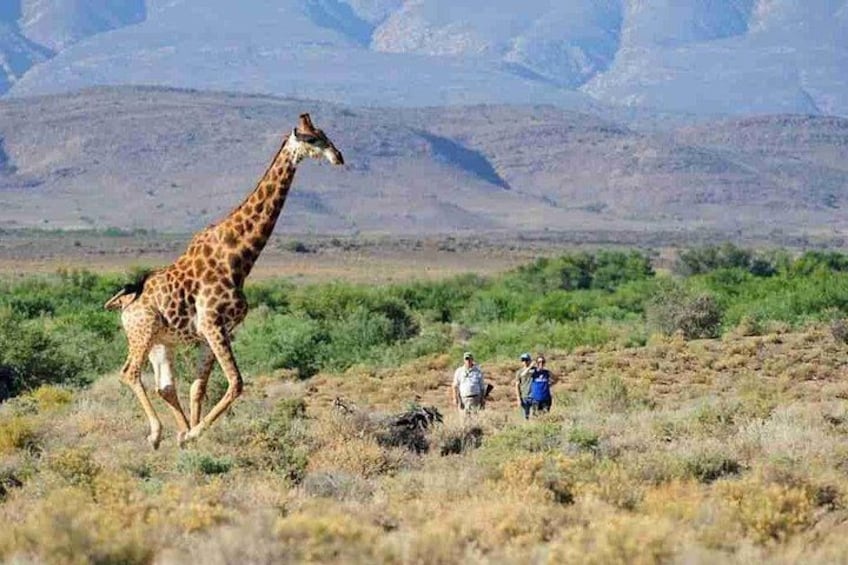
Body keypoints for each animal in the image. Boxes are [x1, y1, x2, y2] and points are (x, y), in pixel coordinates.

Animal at [105, 113, 344, 448]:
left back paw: (178, 432)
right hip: (143, 331)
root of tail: (126, 301)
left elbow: (198, 387)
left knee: (164, 385)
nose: (338, 157)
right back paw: (156, 433)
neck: (239, 258)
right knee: (129, 372)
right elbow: (236, 383)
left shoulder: (217, 330)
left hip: (161, 341)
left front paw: (191, 437)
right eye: (312, 138)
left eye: (324, 134)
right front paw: (195, 433)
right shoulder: (212, 324)